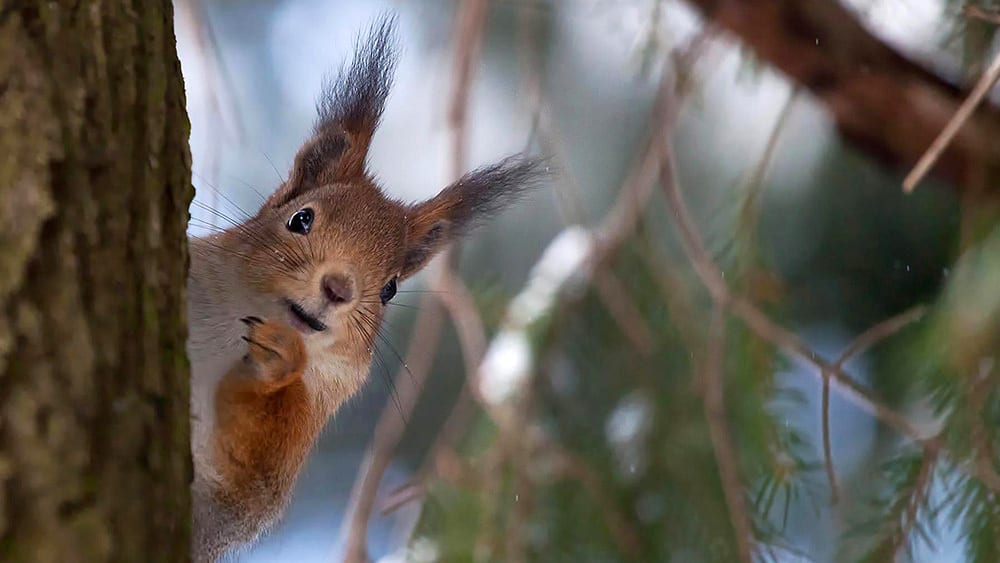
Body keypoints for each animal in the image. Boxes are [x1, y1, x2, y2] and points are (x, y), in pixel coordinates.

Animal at [188, 15, 548, 560]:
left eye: (391, 289)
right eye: (300, 219)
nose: (338, 288)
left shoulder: (273, 463)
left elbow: (248, 480)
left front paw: (277, 361)